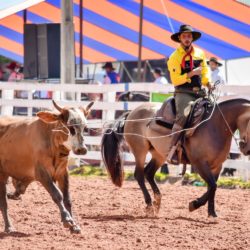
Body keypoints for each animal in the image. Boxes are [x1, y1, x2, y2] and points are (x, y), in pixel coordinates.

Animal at [0, 100, 94, 233]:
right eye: (70, 127)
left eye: (85, 127)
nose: (82, 149)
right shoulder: (42, 174)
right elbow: (57, 195)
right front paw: (67, 219)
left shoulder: (63, 173)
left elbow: (67, 199)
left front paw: (74, 225)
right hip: (2, 174)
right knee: (4, 201)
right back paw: (9, 226)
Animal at [101, 97, 250, 217]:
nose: (246, 148)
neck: (215, 125)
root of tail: (131, 113)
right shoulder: (200, 164)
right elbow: (213, 185)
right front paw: (194, 204)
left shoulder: (217, 166)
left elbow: (212, 187)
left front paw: (212, 212)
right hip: (140, 151)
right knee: (139, 175)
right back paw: (150, 205)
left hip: (159, 154)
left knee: (149, 173)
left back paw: (157, 202)